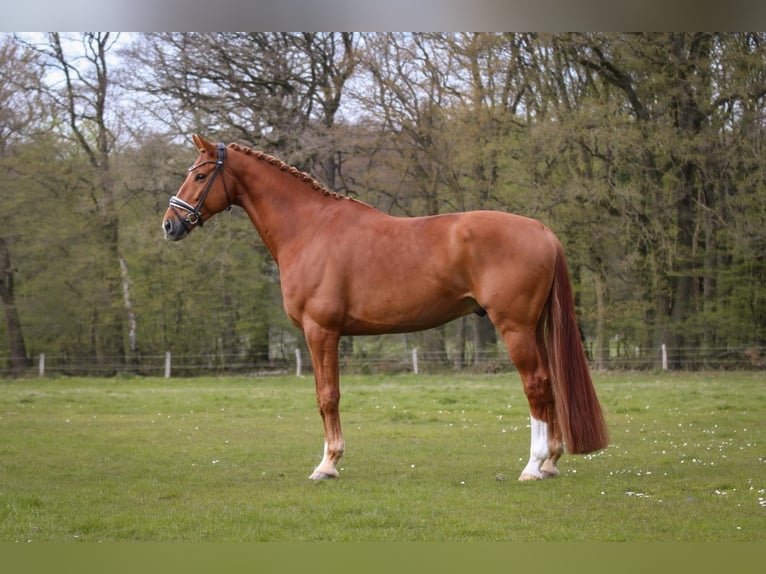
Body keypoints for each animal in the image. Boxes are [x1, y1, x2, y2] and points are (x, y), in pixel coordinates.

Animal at [162, 134, 608, 481]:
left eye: (199, 175)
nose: (170, 223)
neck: (309, 229)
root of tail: (542, 230)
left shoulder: (321, 331)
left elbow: (328, 396)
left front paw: (328, 464)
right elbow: (326, 395)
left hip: (515, 327)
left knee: (536, 384)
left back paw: (533, 466)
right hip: (534, 328)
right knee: (549, 384)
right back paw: (550, 462)